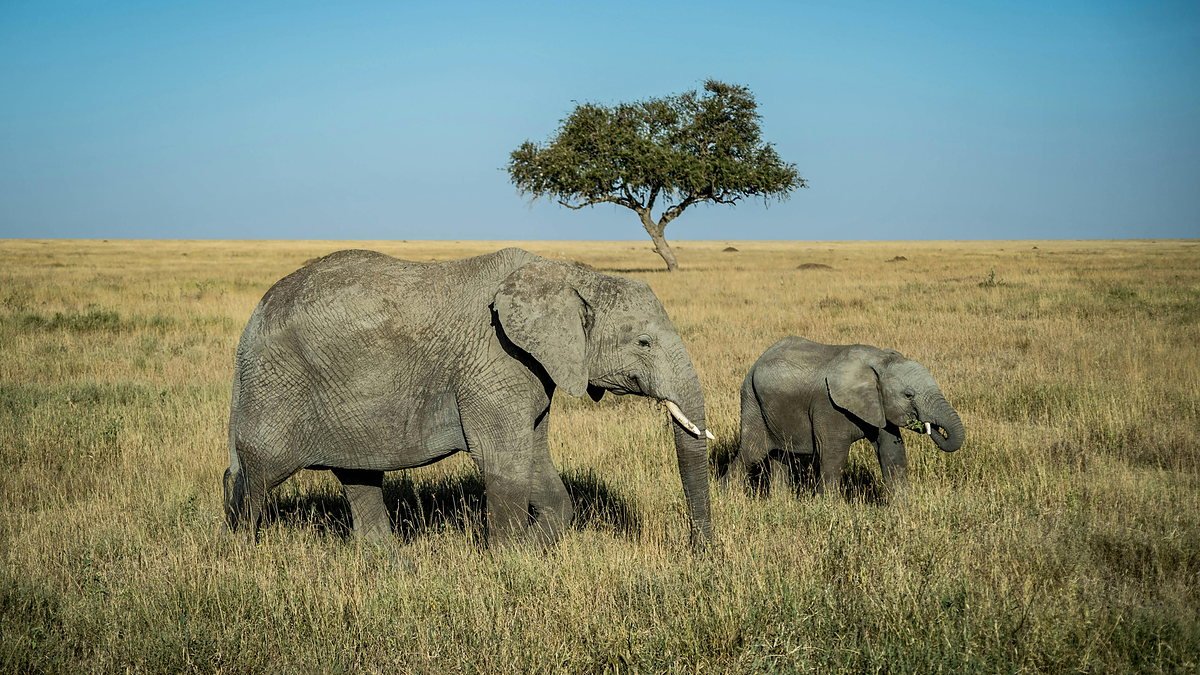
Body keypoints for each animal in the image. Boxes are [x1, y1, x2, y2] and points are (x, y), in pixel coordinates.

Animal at [224, 247, 713, 549]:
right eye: (644, 343)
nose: (699, 552)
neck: (569, 273)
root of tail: (252, 321)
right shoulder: (495, 361)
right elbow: (503, 462)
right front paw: (510, 565)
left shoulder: (530, 370)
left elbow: (536, 459)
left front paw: (530, 551)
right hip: (277, 385)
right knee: (257, 475)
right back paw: (242, 555)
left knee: (358, 478)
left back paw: (392, 567)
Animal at [722, 336, 964, 497]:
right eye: (909, 395)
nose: (929, 426)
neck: (879, 360)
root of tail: (756, 362)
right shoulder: (829, 406)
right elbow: (833, 453)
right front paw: (828, 508)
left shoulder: (877, 405)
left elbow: (891, 451)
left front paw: (902, 509)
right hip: (753, 403)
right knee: (751, 452)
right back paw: (729, 497)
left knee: (780, 456)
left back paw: (780, 502)